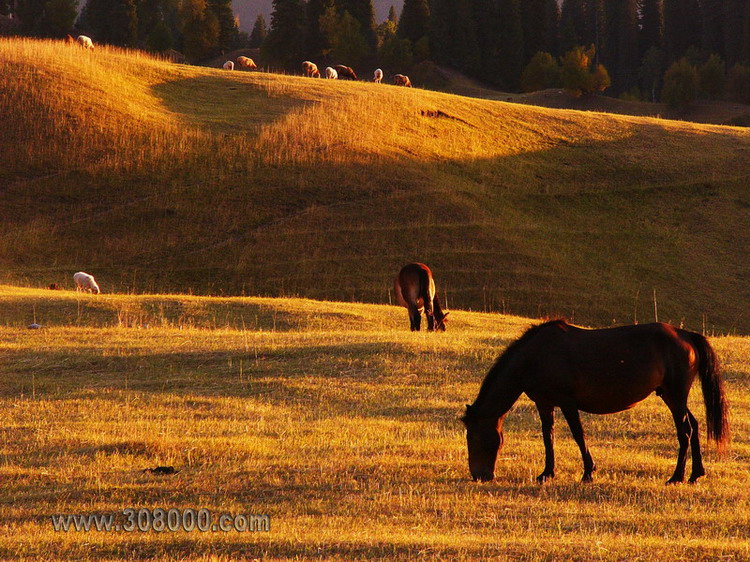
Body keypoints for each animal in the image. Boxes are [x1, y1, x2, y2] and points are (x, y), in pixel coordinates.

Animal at [462, 320, 732, 482]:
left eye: (473, 437)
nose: (479, 476)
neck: (535, 356)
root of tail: (685, 334)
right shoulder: (545, 403)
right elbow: (548, 436)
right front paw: (547, 473)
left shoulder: (568, 402)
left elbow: (578, 434)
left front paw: (588, 472)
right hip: (669, 394)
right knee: (694, 425)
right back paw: (696, 474)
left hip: (675, 395)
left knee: (685, 430)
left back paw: (676, 477)